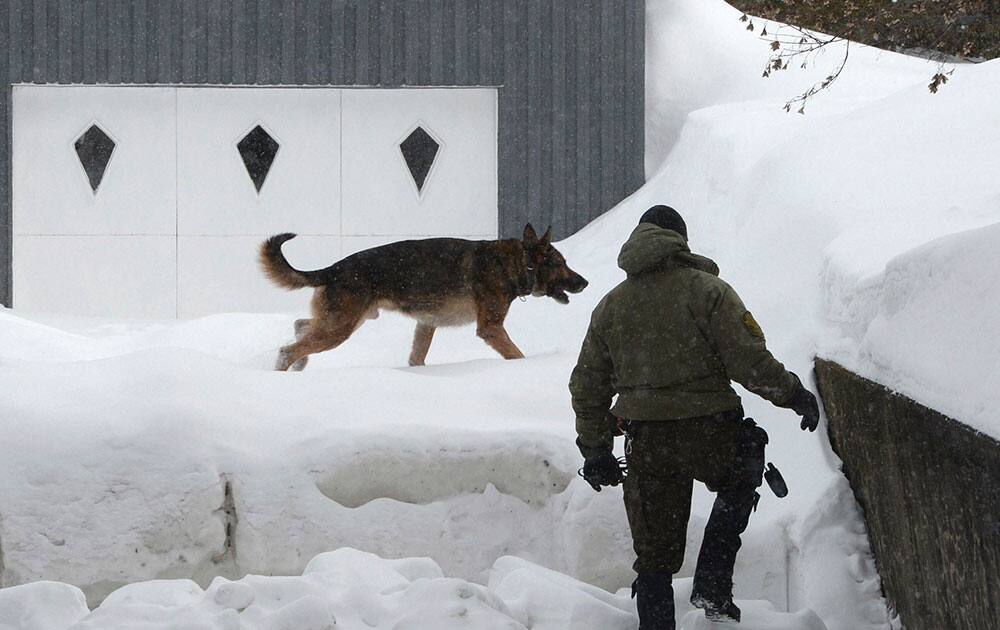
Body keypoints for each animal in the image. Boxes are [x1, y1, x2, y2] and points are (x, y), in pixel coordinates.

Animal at [260, 225, 584, 370]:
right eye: (562, 263)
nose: (586, 282)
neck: (517, 263)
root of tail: (332, 269)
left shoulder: (427, 325)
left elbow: (417, 357)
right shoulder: (491, 328)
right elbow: (516, 354)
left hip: (344, 320)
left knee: (301, 326)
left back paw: (300, 364)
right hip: (340, 326)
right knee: (289, 349)